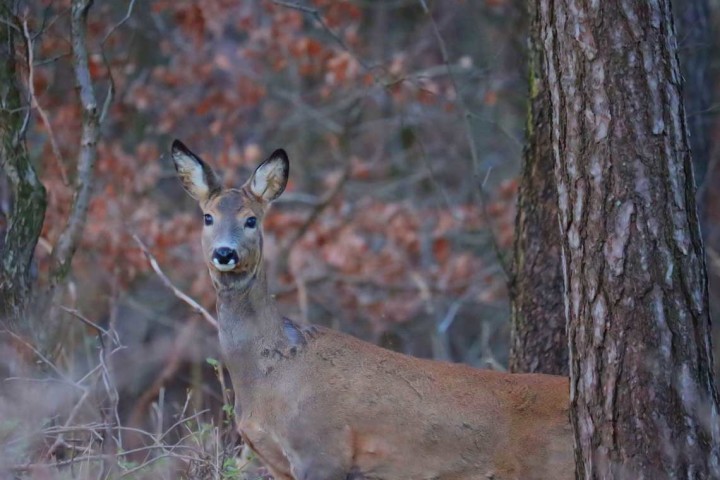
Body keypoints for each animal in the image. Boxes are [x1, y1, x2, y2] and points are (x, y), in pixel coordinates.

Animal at [172, 140, 572, 480]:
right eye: (208, 217)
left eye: (251, 220)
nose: (225, 252)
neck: (269, 372)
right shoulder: (277, 462)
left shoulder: (321, 449)